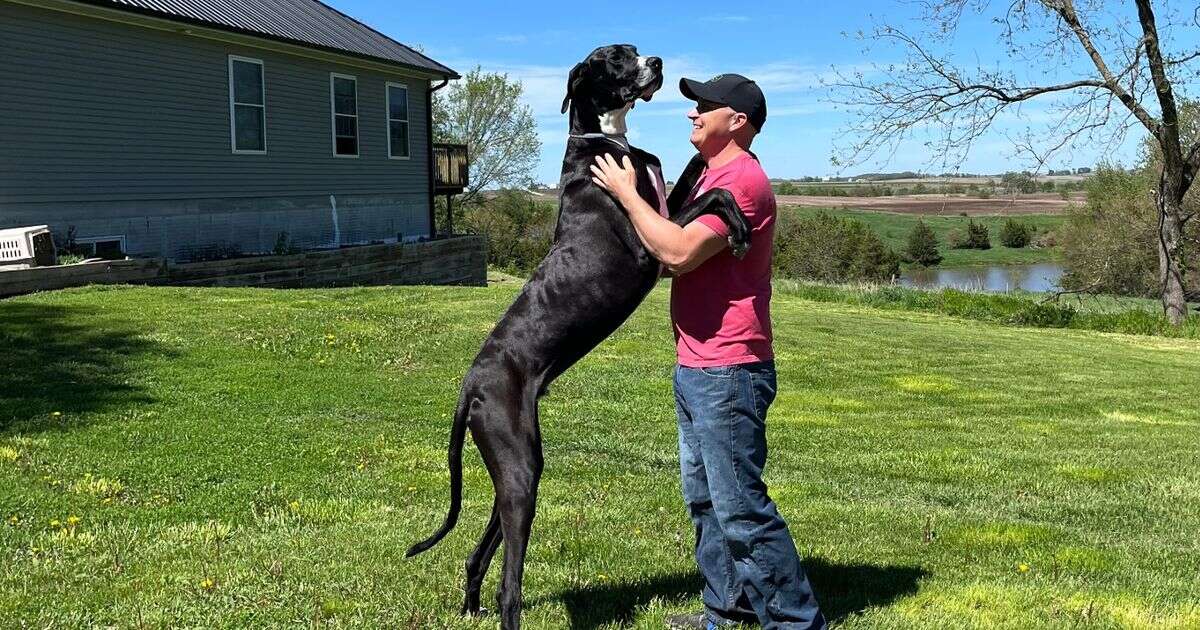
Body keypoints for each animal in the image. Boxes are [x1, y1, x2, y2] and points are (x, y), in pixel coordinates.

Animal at [408, 45, 753, 628]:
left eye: (633, 50)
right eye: (614, 59)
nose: (656, 61)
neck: (607, 138)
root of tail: (469, 387)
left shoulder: (663, 211)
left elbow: (693, 175)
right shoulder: (650, 250)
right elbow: (716, 196)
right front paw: (738, 223)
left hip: (519, 465)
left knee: (480, 552)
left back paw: (471, 602)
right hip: (519, 469)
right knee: (510, 586)